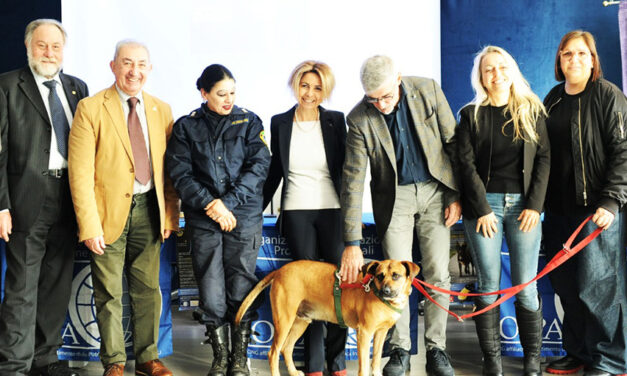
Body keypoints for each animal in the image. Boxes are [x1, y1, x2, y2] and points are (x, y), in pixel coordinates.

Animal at [233, 260, 420, 376]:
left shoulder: (381, 333)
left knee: (286, 348)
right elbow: (364, 365)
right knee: (273, 352)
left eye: (396, 275)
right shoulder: (365, 333)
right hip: (284, 321)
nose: (385, 291)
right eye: (380, 276)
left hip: (300, 322)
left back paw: (293, 372)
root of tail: (280, 270)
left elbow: (375, 361)